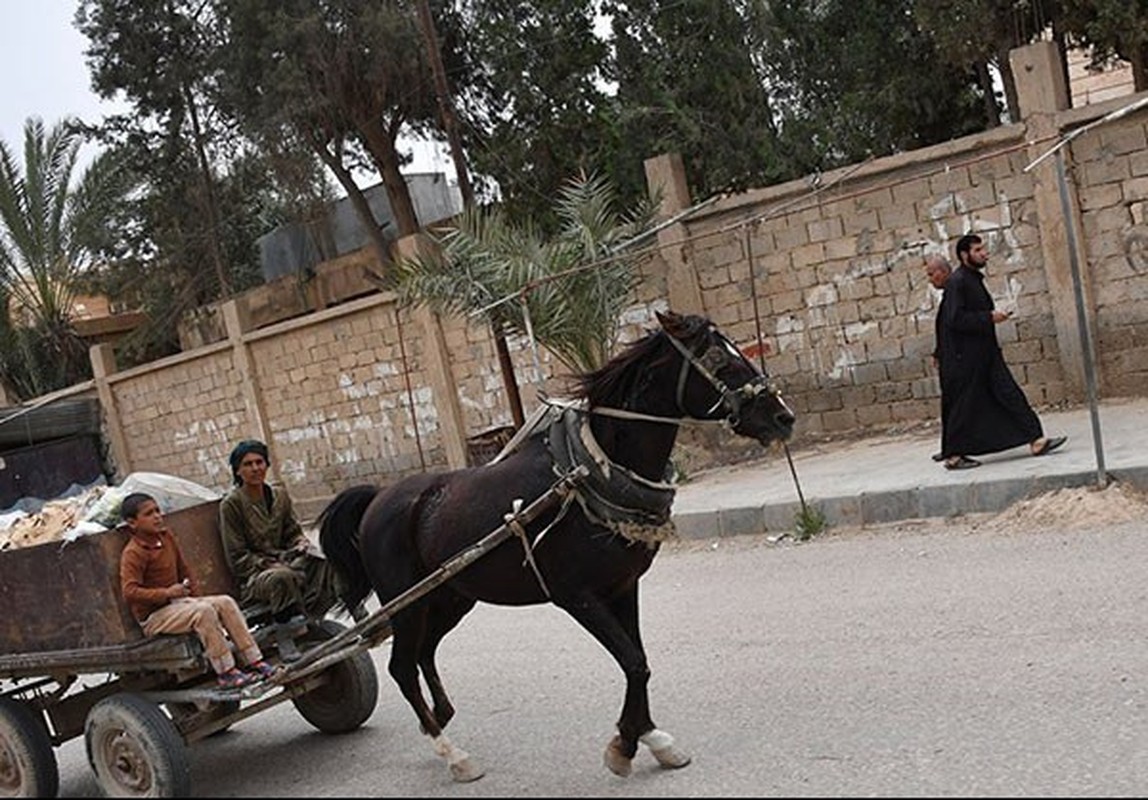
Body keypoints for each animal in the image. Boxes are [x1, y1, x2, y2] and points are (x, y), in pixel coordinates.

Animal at [319, 309, 794, 780]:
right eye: (719, 361)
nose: (784, 418)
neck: (590, 472)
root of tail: (378, 498)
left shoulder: (623, 586)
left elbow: (638, 658)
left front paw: (649, 737)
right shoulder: (577, 596)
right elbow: (633, 662)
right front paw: (624, 744)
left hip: (450, 597)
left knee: (424, 653)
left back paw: (438, 718)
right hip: (408, 603)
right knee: (402, 666)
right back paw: (451, 752)